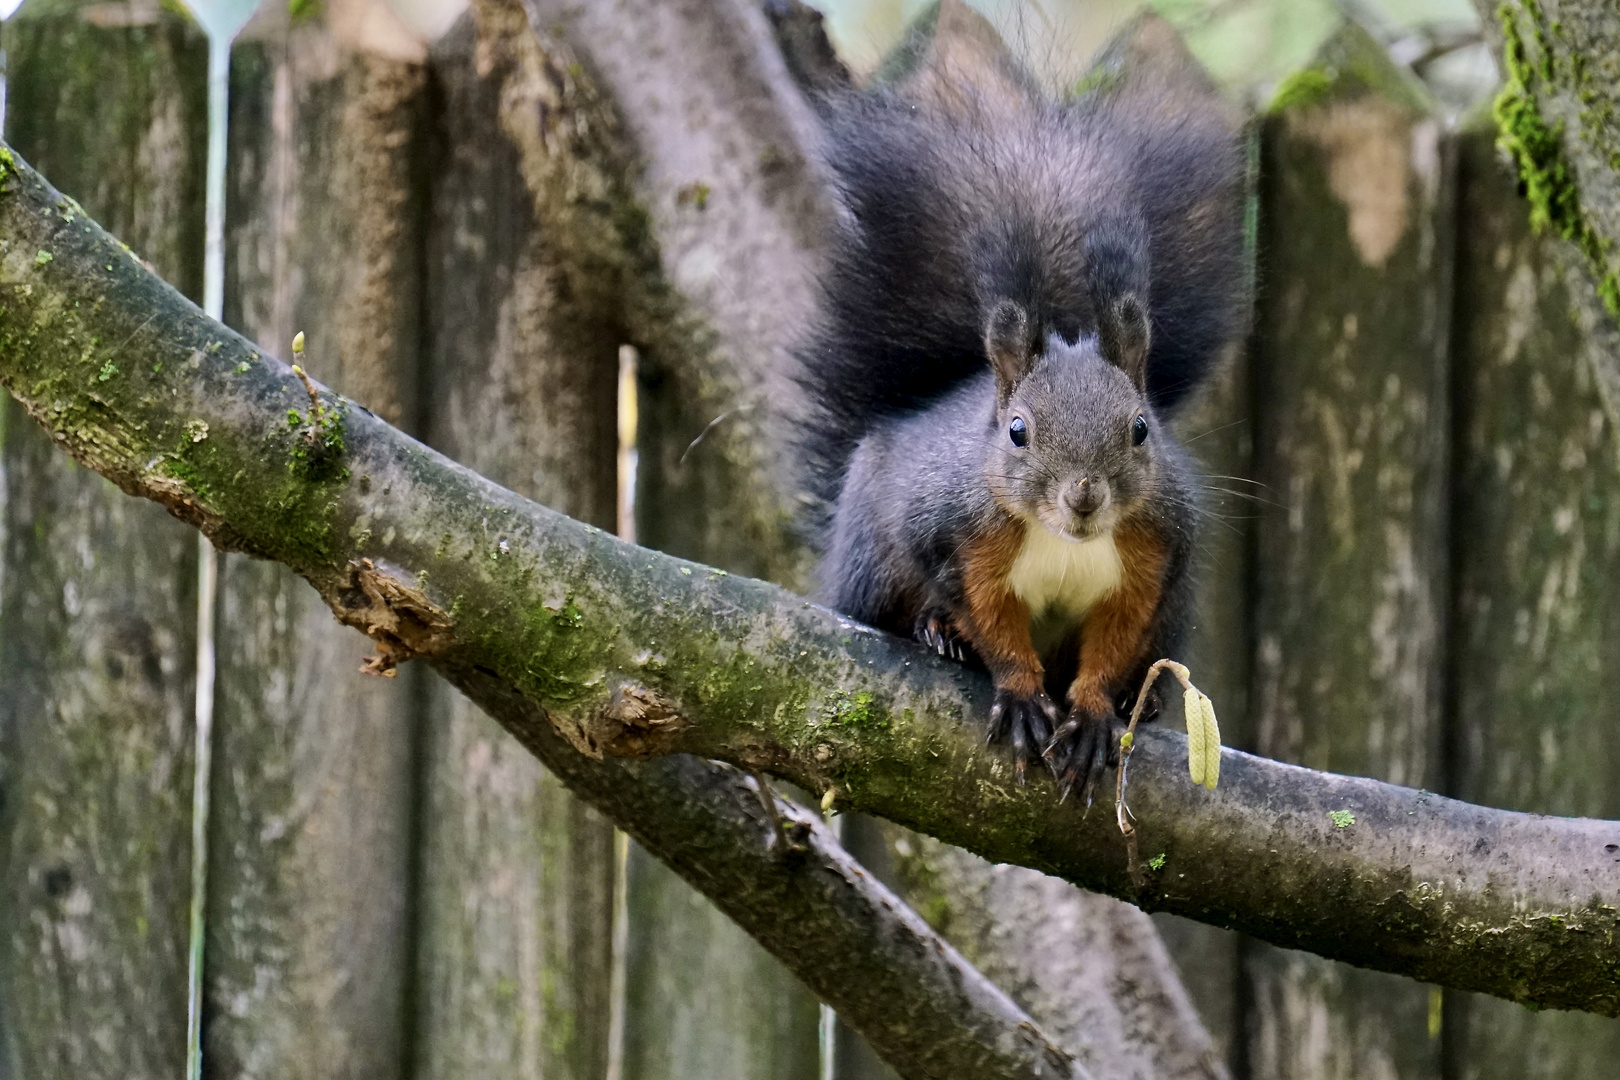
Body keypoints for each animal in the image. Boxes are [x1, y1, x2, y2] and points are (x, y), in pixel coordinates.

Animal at [790, 23, 1244, 803]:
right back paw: (935, 634)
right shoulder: (955, 537)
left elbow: (1115, 640)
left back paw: (1147, 698)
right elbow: (990, 622)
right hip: (871, 565)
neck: (1065, 541)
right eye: (1018, 431)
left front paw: (1093, 712)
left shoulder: (1153, 556)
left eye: (1141, 428)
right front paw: (1020, 692)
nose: (1085, 497)